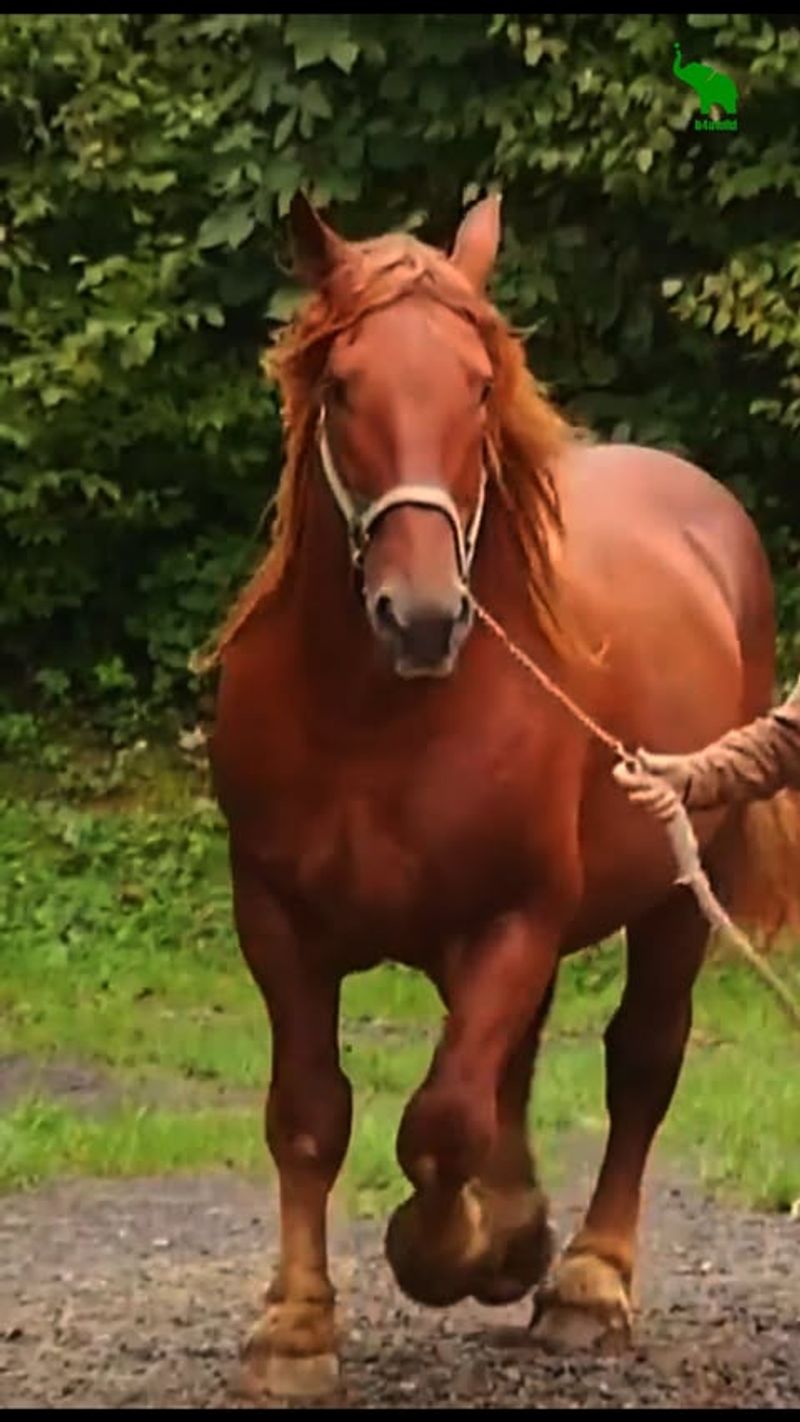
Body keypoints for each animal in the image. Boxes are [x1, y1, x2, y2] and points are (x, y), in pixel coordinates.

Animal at [208, 194, 800, 1393]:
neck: (373, 720)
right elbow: (309, 1115)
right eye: (342, 387)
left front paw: (450, 1251)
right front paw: (295, 1327)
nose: (423, 617)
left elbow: (440, 1122)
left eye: (479, 385)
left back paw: (584, 1282)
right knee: (513, 1063)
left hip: (675, 897)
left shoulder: (510, 920)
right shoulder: (277, 923)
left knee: (639, 1064)